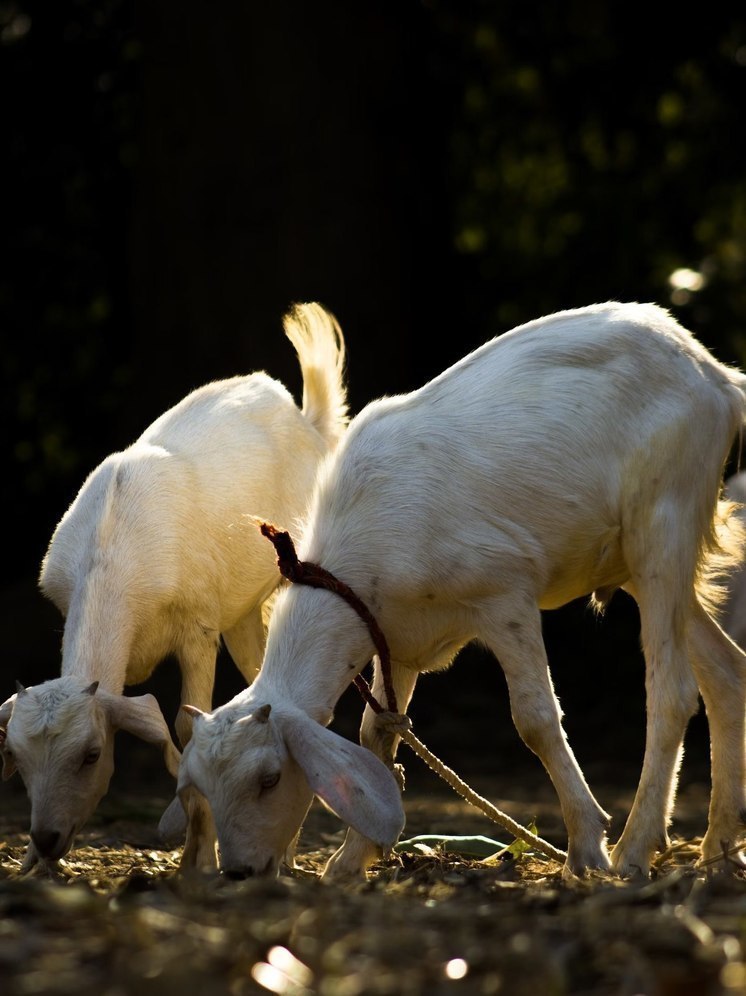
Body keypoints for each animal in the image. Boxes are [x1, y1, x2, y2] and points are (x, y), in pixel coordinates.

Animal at [0, 302, 348, 872]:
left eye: (90, 754)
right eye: (16, 757)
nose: (48, 838)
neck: (112, 555)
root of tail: (309, 424)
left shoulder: (197, 625)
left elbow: (188, 730)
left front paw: (196, 861)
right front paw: (30, 864)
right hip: (241, 611)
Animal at [177, 302, 744, 880]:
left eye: (269, 779)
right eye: (201, 786)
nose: (240, 871)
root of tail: (717, 378)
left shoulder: (505, 593)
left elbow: (535, 720)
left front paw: (587, 846)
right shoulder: (395, 637)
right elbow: (376, 735)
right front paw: (350, 861)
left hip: (664, 518)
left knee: (673, 689)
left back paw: (634, 849)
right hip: (635, 555)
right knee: (725, 670)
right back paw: (719, 845)